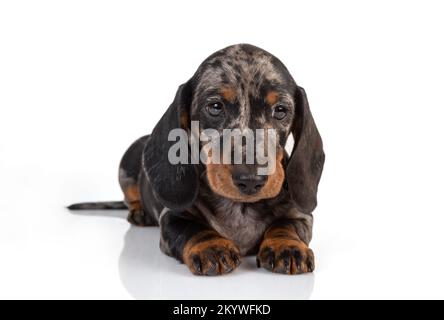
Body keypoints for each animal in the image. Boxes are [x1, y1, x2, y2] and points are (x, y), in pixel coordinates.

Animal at [70, 43, 326, 276]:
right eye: (215, 107)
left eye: (281, 110)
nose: (251, 180)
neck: (240, 207)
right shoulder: (171, 218)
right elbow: (193, 228)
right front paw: (212, 246)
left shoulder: (299, 215)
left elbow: (285, 225)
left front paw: (287, 246)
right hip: (129, 159)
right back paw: (139, 212)